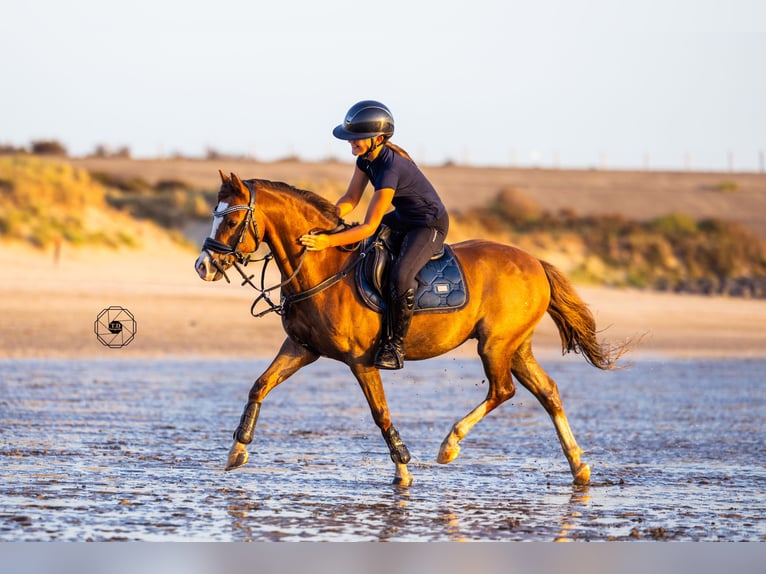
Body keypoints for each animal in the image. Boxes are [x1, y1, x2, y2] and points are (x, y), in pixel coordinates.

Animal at [195, 171, 631, 486]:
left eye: (230, 218)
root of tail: (536, 262)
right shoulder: (302, 347)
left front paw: (403, 470)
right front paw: (237, 452)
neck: (323, 269)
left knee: (503, 390)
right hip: (516, 345)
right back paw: (578, 467)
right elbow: (259, 385)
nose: (203, 266)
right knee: (548, 393)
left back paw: (449, 446)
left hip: (495, 344)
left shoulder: (360, 361)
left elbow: (380, 413)